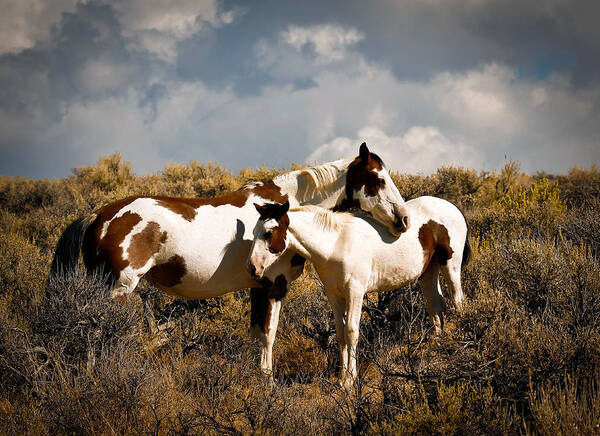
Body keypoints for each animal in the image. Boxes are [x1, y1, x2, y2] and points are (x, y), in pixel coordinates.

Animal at [51, 142, 410, 374]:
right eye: (378, 179)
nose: (403, 220)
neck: (283, 207)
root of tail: (100, 215)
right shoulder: (273, 286)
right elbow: (268, 336)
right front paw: (267, 384)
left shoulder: (257, 287)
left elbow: (256, 335)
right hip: (119, 290)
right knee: (100, 331)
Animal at [246, 199, 472, 386]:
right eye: (254, 231)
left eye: (269, 232)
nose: (252, 268)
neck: (335, 244)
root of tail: (452, 207)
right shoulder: (334, 295)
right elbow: (340, 334)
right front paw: (342, 377)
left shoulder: (355, 292)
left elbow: (352, 332)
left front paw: (350, 380)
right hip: (428, 272)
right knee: (436, 304)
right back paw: (438, 344)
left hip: (450, 264)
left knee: (458, 300)